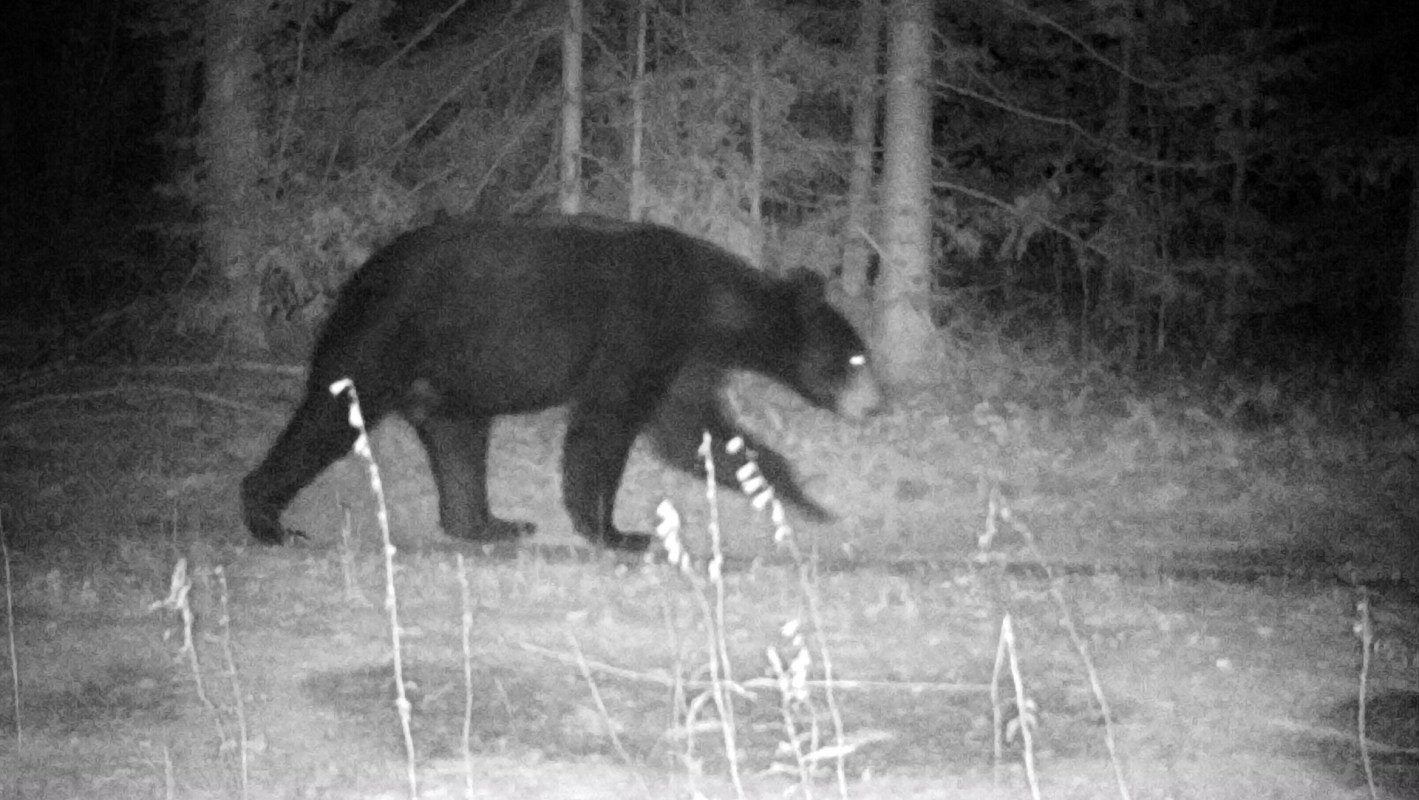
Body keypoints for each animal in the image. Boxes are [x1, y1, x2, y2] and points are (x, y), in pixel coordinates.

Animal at [240, 214, 883, 552]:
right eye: (856, 358)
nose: (878, 405)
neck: (708, 306)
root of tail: (356, 278)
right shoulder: (638, 332)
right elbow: (605, 426)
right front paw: (619, 532)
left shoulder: (682, 360)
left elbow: (696, 431)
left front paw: (806, 500)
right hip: (382, 339)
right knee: (328, 416)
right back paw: (269, 520)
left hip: (450, 380)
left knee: (459, 443)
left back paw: (491, 524)